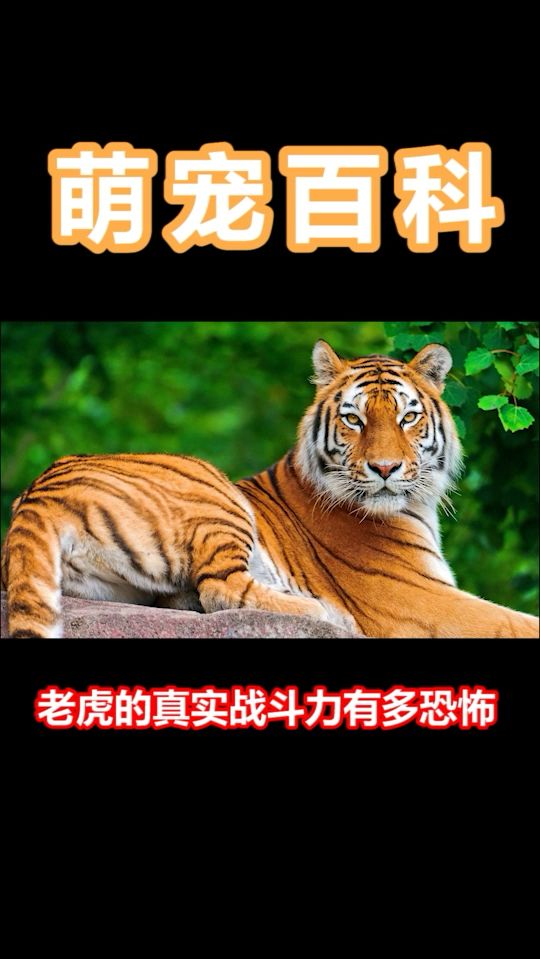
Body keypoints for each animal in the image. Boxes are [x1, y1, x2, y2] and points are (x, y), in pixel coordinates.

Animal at [1, 341, 538, 639]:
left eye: (408, 417)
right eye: (354, 419)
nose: (385, 468)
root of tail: (36, 494)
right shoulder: (417, 598)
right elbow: (515, 621)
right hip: (213, 490)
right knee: (220, 589)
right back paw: (324, 614)